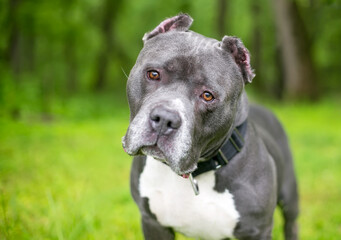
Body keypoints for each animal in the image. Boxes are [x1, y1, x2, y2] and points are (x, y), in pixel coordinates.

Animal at [121, 13, 298, 240]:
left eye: (207, 95)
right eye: (153, 74)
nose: (165, 119)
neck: (194, 173)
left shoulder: (256, 231)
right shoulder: (153, 223)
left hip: (290, 199)